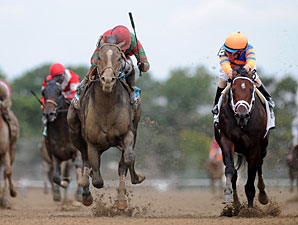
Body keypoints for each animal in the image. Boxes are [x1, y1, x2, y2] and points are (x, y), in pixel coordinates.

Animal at [214, 67, 270, 210]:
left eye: (251, 90)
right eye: (233, 90)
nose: (242, 115)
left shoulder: (255, 146)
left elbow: (251, 177)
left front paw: (250, 210)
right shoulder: (226, 141)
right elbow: (230, 169)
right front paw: (229, 196)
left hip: (264, 146)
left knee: (259, 165)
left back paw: (263, 195)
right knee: (234, 171)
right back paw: (236, 203)